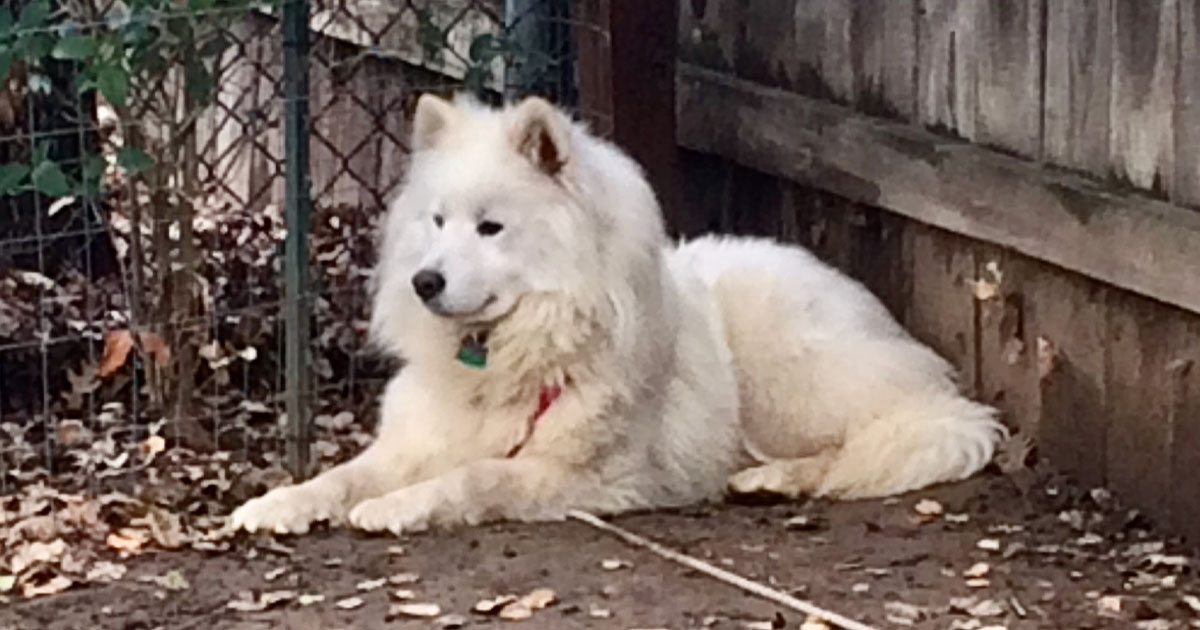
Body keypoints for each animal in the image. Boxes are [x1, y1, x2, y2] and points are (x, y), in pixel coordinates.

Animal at [229, 94, 1008, 535]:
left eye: (490, 228)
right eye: (438, 220)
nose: (425, 281)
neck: (512, 354)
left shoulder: (590, 476)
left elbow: (474, 477)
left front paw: (396, 508)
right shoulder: (412, 441)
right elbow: (341, 476)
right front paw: (277, 505)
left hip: (790, 372)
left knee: (887, 433)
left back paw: (776, 477)